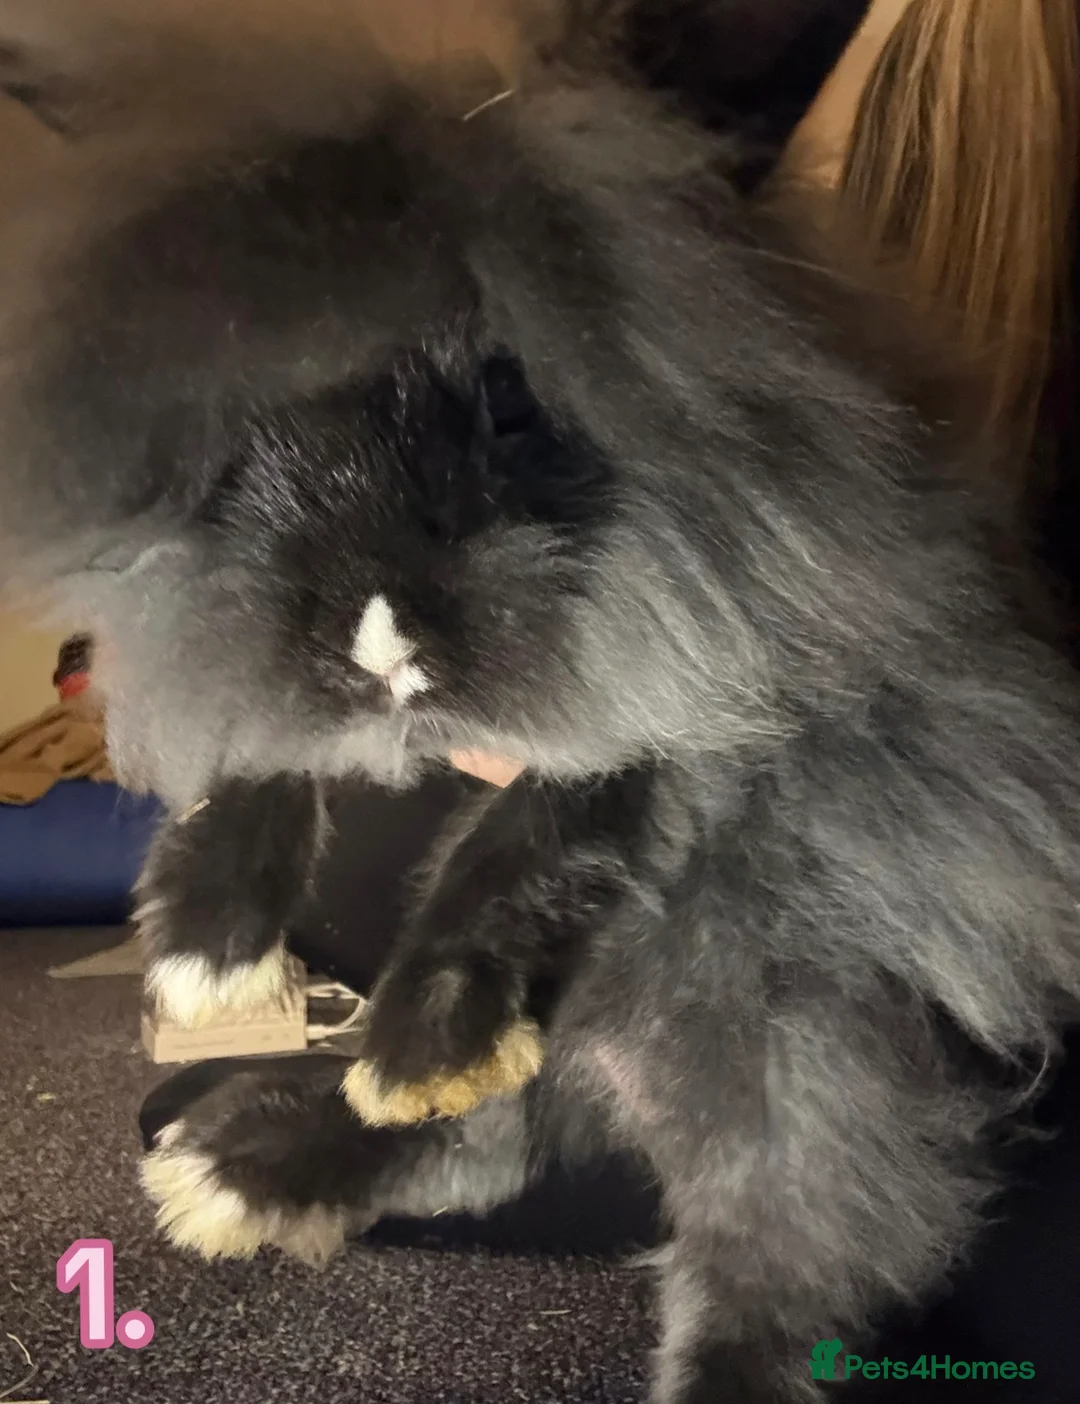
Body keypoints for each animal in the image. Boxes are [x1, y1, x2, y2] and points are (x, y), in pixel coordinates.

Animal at [4, 15, 1080, 1403]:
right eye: (247, 441)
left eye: (509, 399)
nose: (385, 646)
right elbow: (262, 756)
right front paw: (203, 953)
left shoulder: (719, 701)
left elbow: (544, 830)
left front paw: (423, 1038)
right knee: (496, 1139)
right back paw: (240, 1166)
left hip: (798, 1054)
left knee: (781, 1263)